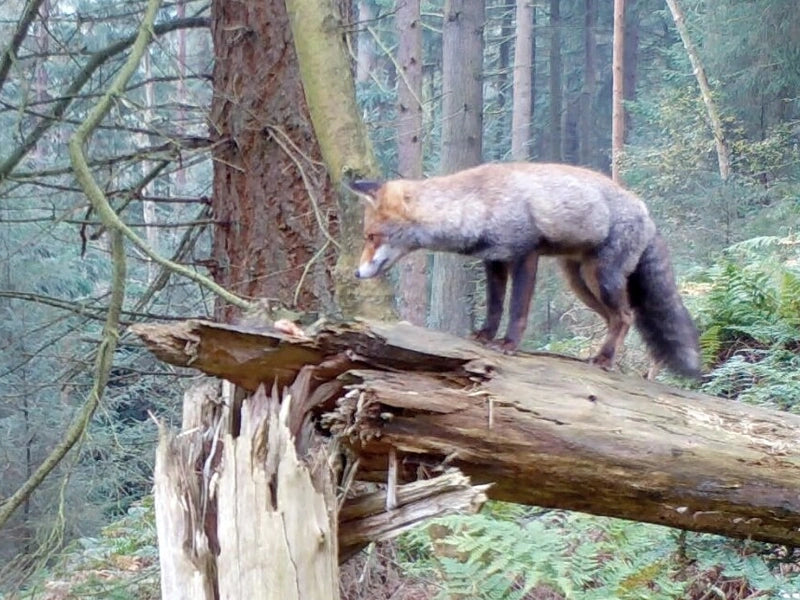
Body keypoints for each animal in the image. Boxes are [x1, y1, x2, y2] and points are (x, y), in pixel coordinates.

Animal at [346, 159, 704, 376]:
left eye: (371, 237)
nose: (356, 274)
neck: (478, 204)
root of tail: (646, 211)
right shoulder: (494, 259)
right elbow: (494, 306)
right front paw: (485, 336)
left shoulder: (525, 254)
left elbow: (517, 309)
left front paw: (509, 344)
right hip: (580, 283)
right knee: (617, 318)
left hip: (601, 279)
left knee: (627, 316)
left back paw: (605, 359)